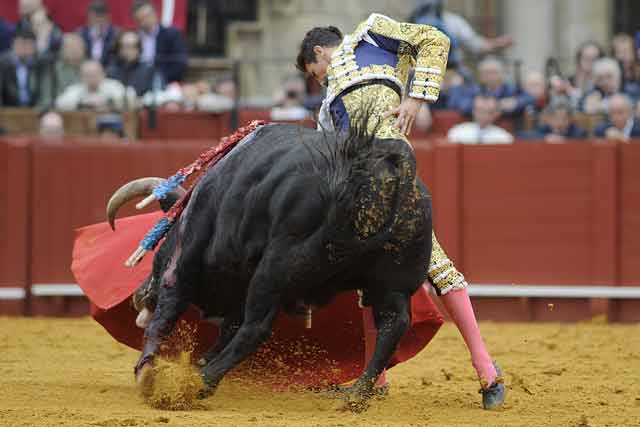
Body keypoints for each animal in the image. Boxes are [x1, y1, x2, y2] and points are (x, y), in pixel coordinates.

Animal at [107, 123, 436, 404]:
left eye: (159, 247)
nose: (139, 296)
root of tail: (386, 167)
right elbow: (227, 327)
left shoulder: (186, 260)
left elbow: (167, 315)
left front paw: (147, 373)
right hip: (392, 283)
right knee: (393, 323)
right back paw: (355, 394)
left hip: (275, 267)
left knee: (256, 327)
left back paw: (202, 381)